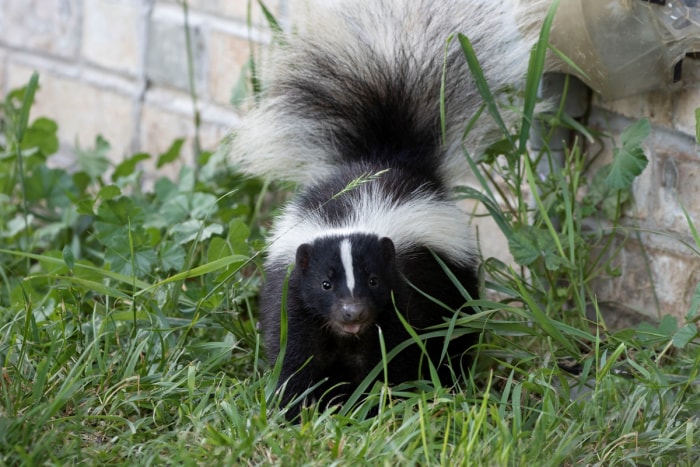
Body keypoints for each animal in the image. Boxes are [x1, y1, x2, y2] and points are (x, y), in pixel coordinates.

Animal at [230, 0, 548, 416]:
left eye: (374, 280)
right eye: (325, 283)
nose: (353, 312)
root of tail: (386, 157)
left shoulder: (403, 291)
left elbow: (393, 352)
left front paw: (376, 404)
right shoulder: (294, 296)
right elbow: (296, 354)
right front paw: (295, 408)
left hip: (453, 279)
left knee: (457, 330)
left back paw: (453, 377)